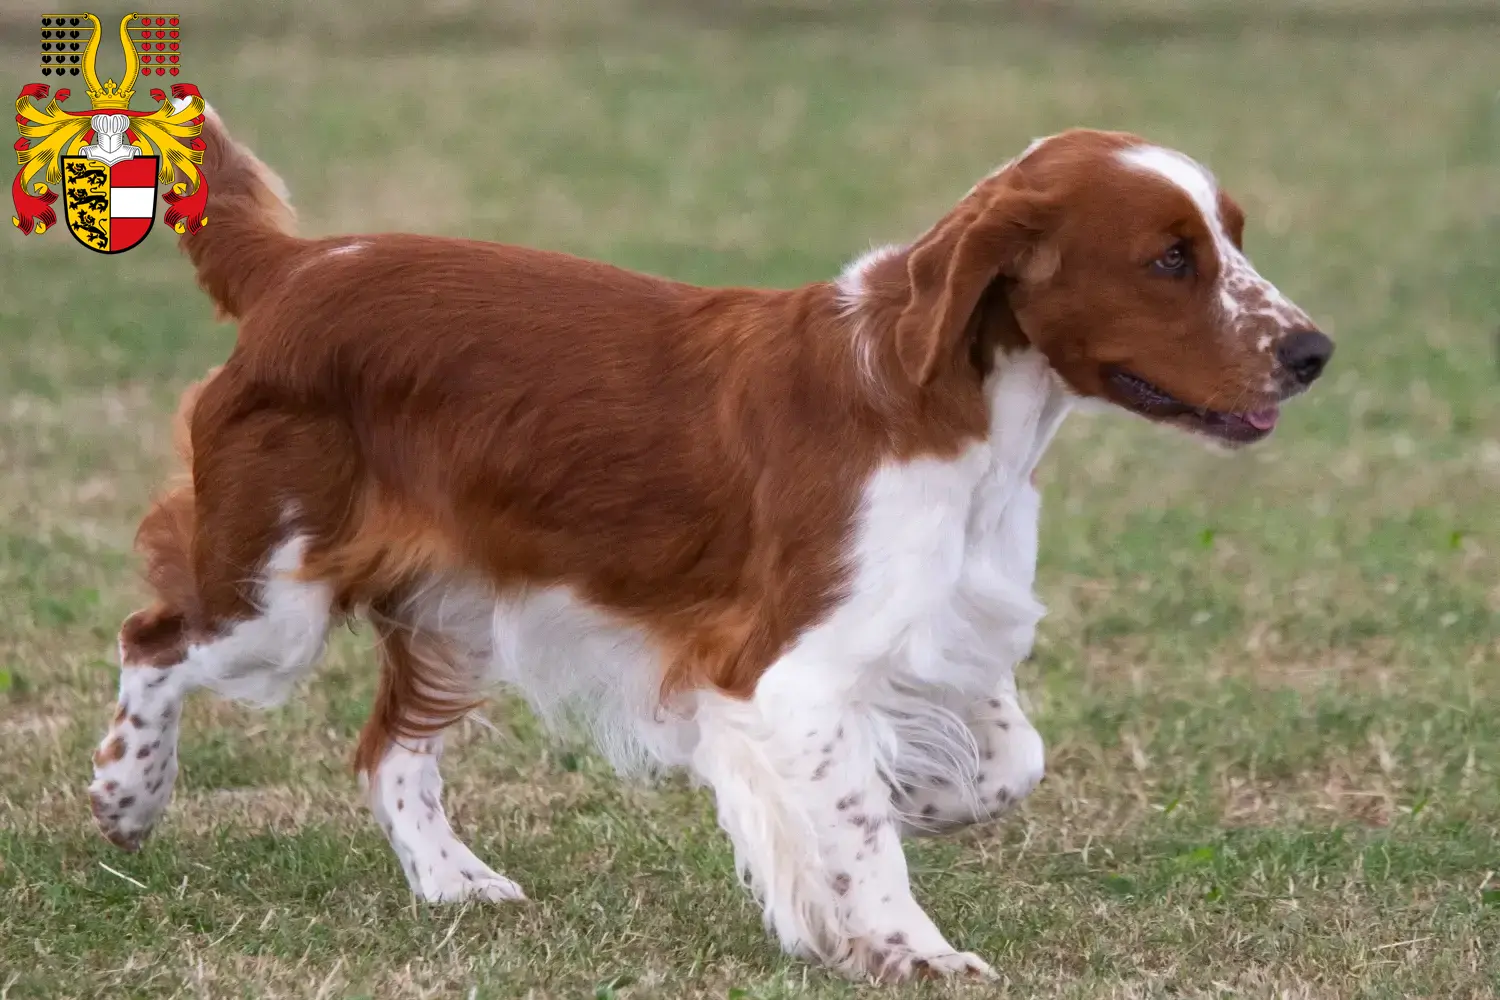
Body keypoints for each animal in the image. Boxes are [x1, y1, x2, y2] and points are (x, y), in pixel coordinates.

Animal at [93, 105, 1332, 983]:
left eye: (1231, 237)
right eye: (1169, 259)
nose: (1314, 350)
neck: (958, 408)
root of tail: (299, 268)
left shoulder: (945, 622)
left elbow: (1004, 759)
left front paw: (914, 803)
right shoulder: (791, 665)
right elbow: (859, 822)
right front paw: (912, 946)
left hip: (453, 607)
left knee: (389, 749)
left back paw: (454, 881)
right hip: (275, 595)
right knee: (154, 636)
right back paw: (126, 796)